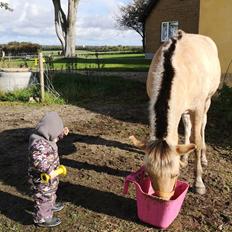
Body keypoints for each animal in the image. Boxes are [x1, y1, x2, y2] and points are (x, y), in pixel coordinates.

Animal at [130, 30, 221, 199]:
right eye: (149, 174)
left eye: (175, 174)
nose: (163, 199)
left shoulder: (198, 107)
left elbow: (197, 141)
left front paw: (199, 183)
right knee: (187, 126)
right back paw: (185, 156)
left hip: (207, 101)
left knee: (202, 126)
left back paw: (204, 158)